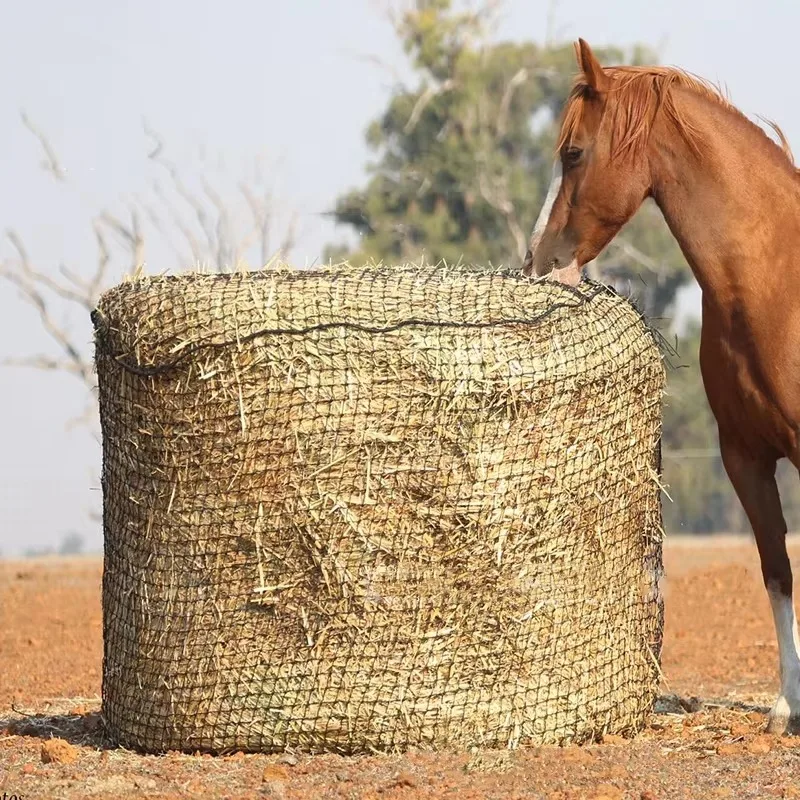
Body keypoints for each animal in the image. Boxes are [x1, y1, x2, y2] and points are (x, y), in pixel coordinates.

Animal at [523, 38, 800, 735]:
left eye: (573, 153)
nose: (537, 262)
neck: (776, 284)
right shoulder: (745, 458)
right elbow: (776, 571)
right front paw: (787, 706)